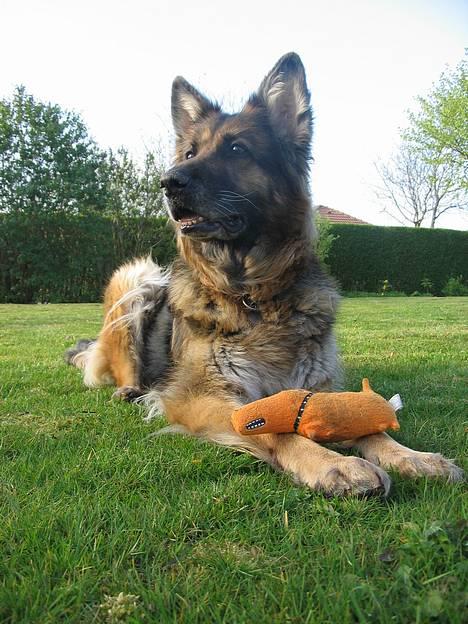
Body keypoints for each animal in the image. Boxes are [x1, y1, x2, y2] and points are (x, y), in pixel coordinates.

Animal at [67, 53, 462, 494]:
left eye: (237, 148)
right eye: (189, 153)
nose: (167, 181)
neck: (253, 294)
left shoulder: (318, 385)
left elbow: (366, 423)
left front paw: (413, 457)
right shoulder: (201, 394)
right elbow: (270, 426)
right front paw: (335, 465)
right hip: (137, 278)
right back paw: (130, 389)